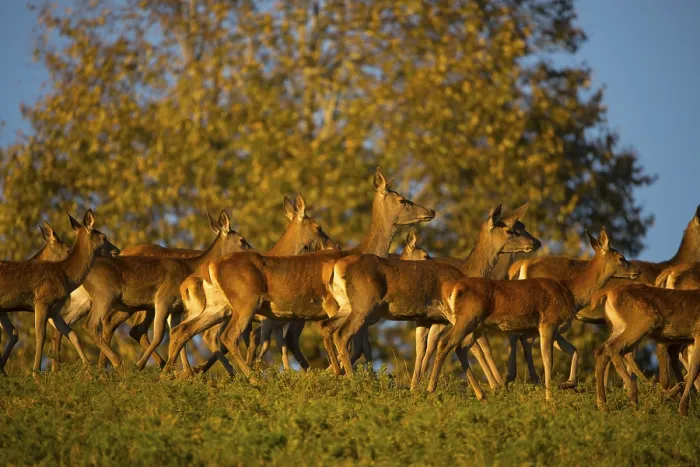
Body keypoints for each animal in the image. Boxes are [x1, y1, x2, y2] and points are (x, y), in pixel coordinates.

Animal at [0, 210, 120, 376]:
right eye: (103, 237)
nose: (117, 250)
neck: (65, 275)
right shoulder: (41, 300)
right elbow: (40, 335)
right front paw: (36, 373)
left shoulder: (54, 309)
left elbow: (72, 334)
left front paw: (88, 369)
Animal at [164, 168, 436, 378]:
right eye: (403, 200)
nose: (431, 211)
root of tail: (212, 267)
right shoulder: (333, 305)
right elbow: (347, 344)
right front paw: (336, 374)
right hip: (245, 301)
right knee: (227, 337)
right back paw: (251, 378)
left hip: (219, 306)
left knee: (183, 331)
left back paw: (172, 373)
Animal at [325, 203, 539, 398]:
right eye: (511, 230)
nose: (535, 243)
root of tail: (336, 268)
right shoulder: (448, 314)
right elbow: (473, 347)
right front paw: (495, 388)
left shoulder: (428, 319)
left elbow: (424, 351)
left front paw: (416, 388)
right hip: (364, 305)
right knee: (343, 335)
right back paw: (352, 380)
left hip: (347, 307)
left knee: (328, 328)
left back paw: (337, 373)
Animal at [428, 227, 640, 401]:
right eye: (621, 258)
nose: (636, 271)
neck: (571, 293)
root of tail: (452, 288)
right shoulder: (548, 322)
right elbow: (548, 359)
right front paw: (549, 398)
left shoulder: (548, 328)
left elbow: (574, 351)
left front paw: (567, 384)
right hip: (467, 318)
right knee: (446, 343)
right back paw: (431, 388)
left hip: (477, 325)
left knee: (461, 348)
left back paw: (481, 394)